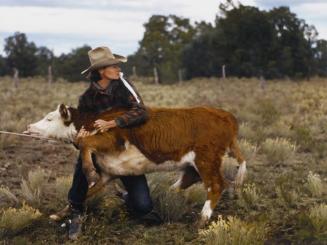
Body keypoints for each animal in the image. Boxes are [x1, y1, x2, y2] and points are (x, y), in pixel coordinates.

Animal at [25, 103, 246, 226]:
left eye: (49, 118)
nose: (28, 127)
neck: (92, 122)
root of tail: (227, 117)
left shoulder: (110, 139)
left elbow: (85, 143)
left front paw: (89, 173)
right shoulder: (109, 172)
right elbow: (85, 193)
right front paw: (61, 214)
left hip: (206, 159)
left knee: (216, 185)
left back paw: (202, 219)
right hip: (195, 163)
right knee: (190, 180)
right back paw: (166, 196)